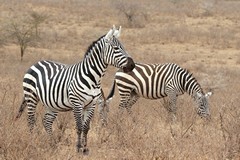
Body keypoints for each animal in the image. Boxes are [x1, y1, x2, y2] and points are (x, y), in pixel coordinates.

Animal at [15, 25, 135, 154]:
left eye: (123, 47)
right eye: (116, 48)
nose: (132, 65)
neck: (93, 77)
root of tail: (37, 63)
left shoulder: (91, 105)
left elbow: (86, 127)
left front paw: (85, 149)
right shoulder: (77, 103)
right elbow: (79, 126)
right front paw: (78, 148)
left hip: (51, 103)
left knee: (46, 121)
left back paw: (52, 144)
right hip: (31, 97)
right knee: (31, 120)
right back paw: (33, 142)